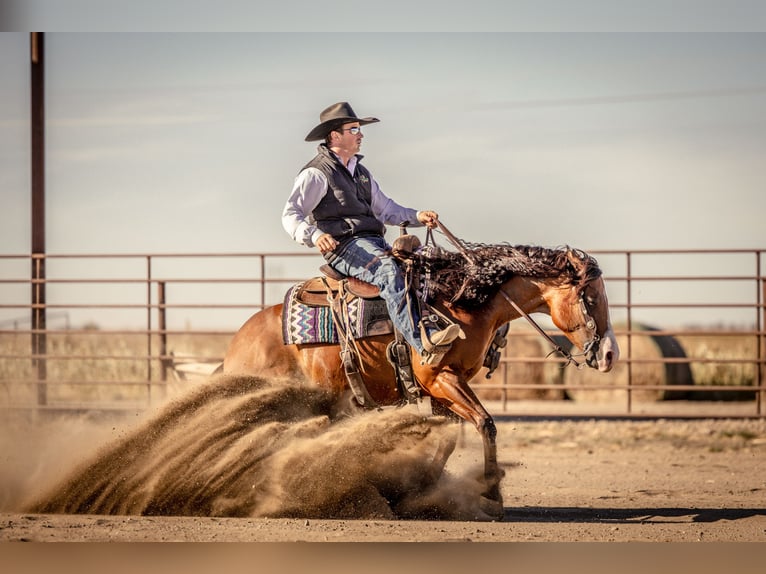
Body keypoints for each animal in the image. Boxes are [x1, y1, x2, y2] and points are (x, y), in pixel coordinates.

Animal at [222, 241, 616, 520]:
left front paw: (416, 494)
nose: (611, 354)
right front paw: (491, 495)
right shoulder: (439, 378)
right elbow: (485, 424)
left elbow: (449, 440)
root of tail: (237, 345)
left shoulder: (445, 389)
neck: (459, 302)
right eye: (590, 297)